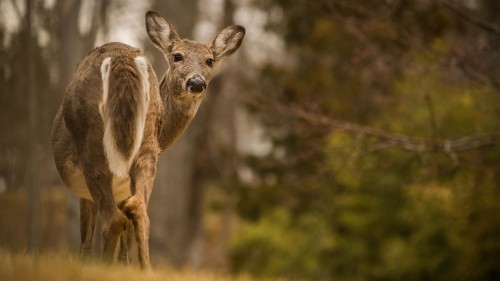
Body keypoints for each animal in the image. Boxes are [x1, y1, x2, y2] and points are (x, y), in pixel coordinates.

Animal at [49, 10, 245, 268]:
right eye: (177, 56)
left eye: (209, 60)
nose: (196, 82)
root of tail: (122, 60)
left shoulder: (87, 190)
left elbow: (87, 242)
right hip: (146, 144)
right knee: (138, 209)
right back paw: (145, 270)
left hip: (93, 143)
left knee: (113, 220)